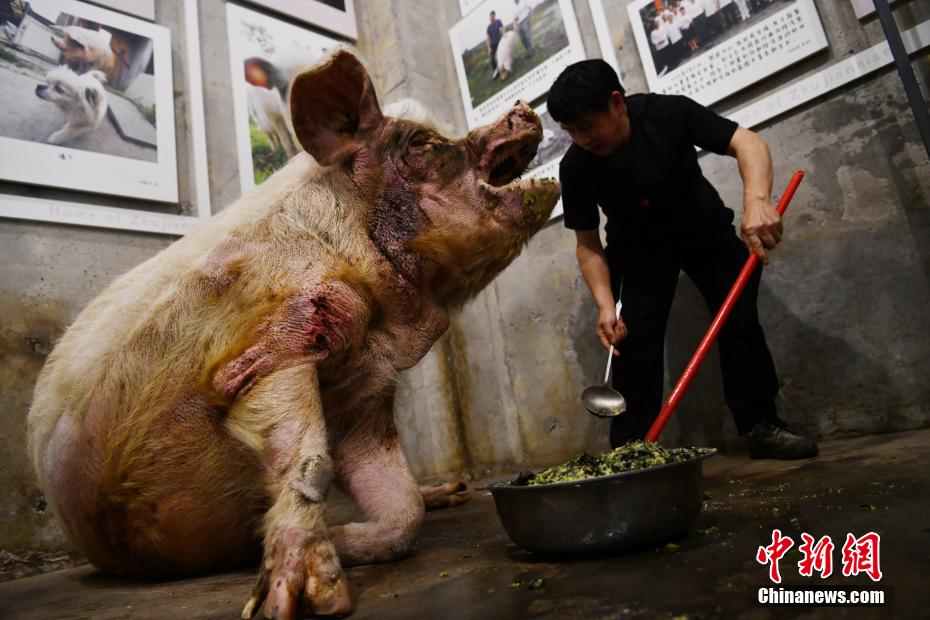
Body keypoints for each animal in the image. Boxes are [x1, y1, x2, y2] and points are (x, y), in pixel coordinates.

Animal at [27, 50, 560, 616]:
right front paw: (299, 602)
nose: (521, 106)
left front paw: (334, 545)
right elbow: (311, 463)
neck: (380, 318)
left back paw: (453, 491)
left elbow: (403, 508)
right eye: (421, 142)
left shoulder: (362, 398)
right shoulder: (272, 349)